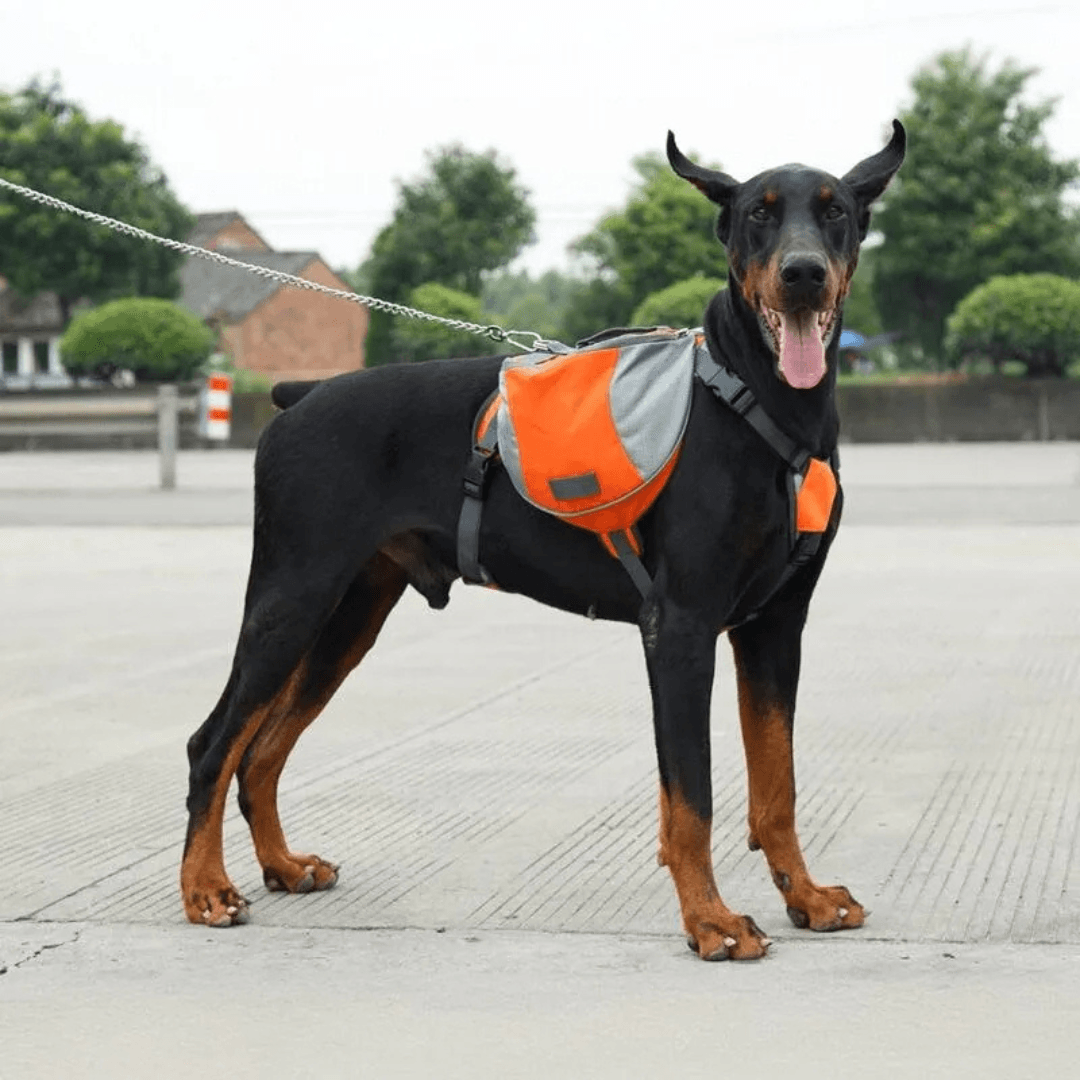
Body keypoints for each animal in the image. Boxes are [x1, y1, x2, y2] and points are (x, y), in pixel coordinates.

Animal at [179, 122, 902, 959]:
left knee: (260, 752)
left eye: (836, 210)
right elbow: (692, 796)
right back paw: (205, 889)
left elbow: (776, 785)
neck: (760, 399)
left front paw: (806, 897)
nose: (802, 274)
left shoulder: (775, 626)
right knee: (214, 744)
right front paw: (710, 921)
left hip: (347, 618)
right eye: (759, 212)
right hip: (291, 598)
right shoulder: (681, 627)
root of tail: (297, 398)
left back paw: (283, 866)